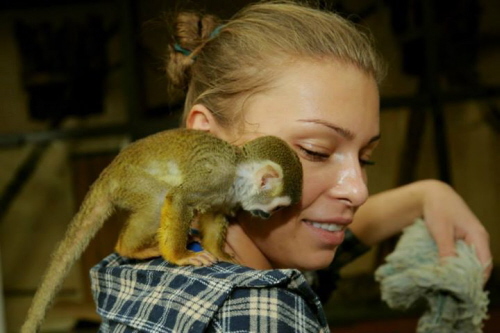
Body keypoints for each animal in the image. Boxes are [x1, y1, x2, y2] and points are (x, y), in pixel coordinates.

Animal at [21, 127, 302, 332]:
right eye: (278, 207)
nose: (268, 215)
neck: (237, 173)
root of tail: (108, 172)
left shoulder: (225, 195)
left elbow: (214, 215)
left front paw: (220, 252)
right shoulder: (216, 177)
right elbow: (179, 198)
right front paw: (180, 256)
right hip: (128, 181)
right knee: (158, 198)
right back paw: (130, 248)